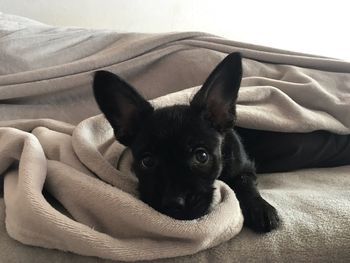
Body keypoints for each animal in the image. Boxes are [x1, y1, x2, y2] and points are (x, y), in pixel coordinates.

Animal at [92, 53, 278, 233]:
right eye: (147, 161)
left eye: (202, 156)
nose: (174, 202)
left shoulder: (244, 168)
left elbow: (245, 183)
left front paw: (260, 209)